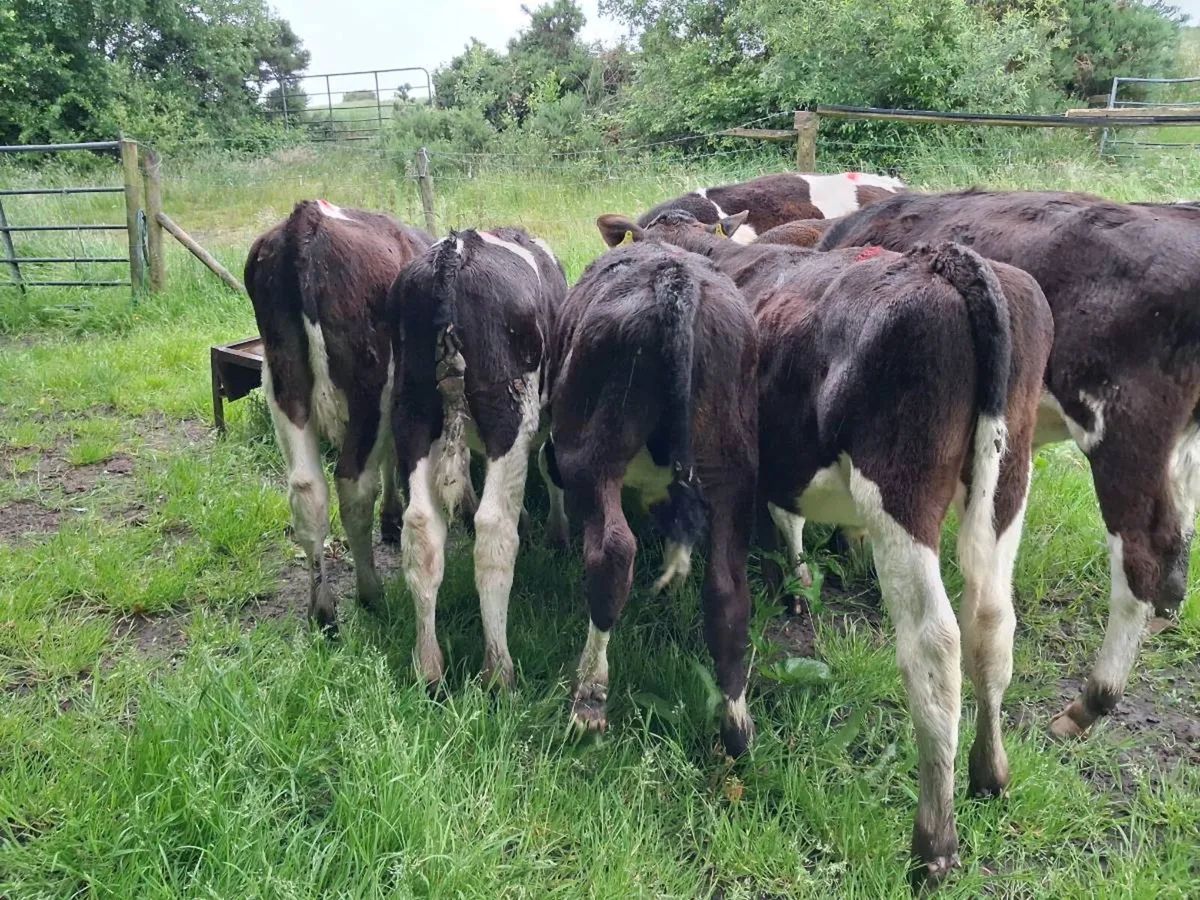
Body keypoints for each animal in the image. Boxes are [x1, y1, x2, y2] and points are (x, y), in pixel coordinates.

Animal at [244, 199, 431, 634]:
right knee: (352, 486)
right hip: (371, 386)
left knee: (307, 490)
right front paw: (392, 517)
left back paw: (323, 610)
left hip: (283, 382)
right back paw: (370, 592)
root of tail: (304, 221)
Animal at [390, 226, 567, 689]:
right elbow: (551, 466)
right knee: (494, 532)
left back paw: (428, 668)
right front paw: (557, 533)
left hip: (411, 408)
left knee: (421, 527)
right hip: (510, 410)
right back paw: (499, 672)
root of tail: (454, 255)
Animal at [541, 240, 760, 759]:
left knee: (613, 554)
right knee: (728, 590)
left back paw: (588, 701)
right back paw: (736, 726)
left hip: (592, 453)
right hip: (735, 468)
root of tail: (674, 280)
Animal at [597, 209, 1054, 887]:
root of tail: (947, 262)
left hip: (899, 490)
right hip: (1006, 480)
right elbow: (788, 522)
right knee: (992, 623)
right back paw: (990, 773)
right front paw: (798, 584)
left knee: (935, 646)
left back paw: (934, 842)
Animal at [817, 189, 1200, 741]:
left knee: (1144, 556)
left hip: (1125, 429)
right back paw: (1164, 615)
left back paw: (1092, 701)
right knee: (1179, 533)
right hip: (1180, 442)